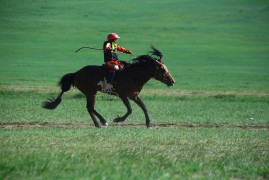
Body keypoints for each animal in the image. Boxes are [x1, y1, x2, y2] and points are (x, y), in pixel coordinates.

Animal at [42, 46, 174, 128]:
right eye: (163, 69)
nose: (172, 81)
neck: (133, 75)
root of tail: (76, 73)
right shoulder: (123, 95)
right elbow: (130, 109)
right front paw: (118, 120)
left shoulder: (134, 95)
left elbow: (144, 107)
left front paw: (148, 124)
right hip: (89, 92)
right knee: (90, 107)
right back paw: (103, 121)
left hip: (92, 92)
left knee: (89, 108)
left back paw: (98, 123)